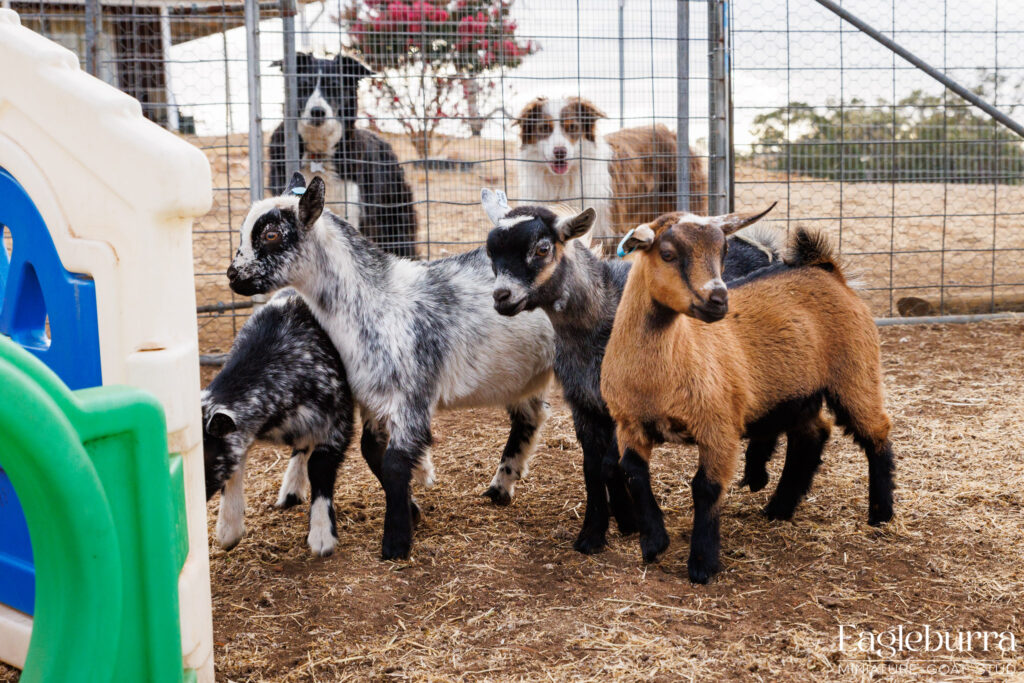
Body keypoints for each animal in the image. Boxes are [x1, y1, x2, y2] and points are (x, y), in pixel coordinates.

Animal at [225, 173, 557, 560]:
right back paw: (500, 487)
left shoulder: (413, 394)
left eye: (271, 234)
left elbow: (396, 462)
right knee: (530, 417)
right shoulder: (373, 395)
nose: (233, 275)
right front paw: (412, 511)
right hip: (524, 374)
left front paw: (396, 542)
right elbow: (372, 452)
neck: (378, 300)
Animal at [480, 189, 782, 555]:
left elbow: (611, 464)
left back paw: (760, 475)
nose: (501, 297)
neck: (599, 315)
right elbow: (592, 468)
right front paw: (594, 533)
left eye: (542, 248)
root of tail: (763, 245)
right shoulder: (583, 403)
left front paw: (627, 520)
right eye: (490, 251)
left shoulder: (621, 406)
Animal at [600, 208, 896, 583]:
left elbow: (706, 487)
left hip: (855, 372)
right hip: (796, 393)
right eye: (667, 254)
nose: (718, 300)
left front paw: (702, 565)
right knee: (813, 434)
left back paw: (880, 514)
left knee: (876, 433)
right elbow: (632, 471)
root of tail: (825, 268)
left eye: (724, 251)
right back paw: (779, 508)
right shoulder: (628, 422)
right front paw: (653, 543)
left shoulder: (718, 427)